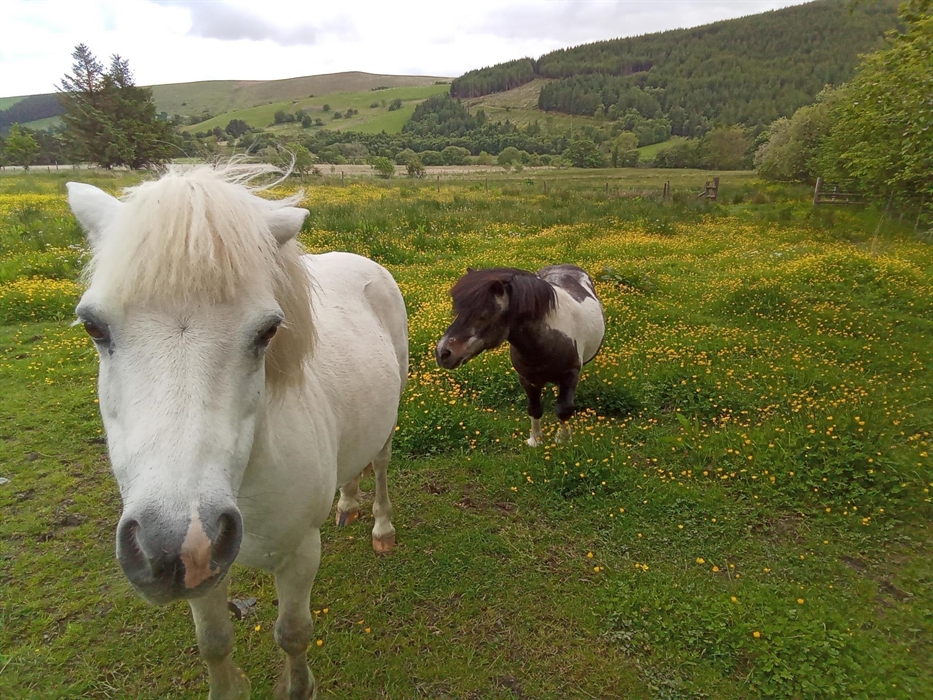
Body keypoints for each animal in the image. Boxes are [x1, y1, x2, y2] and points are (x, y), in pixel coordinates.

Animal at [67, 163, 409, 700]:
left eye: (268, 331)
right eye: (93, 327)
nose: (175, 546)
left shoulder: (300, 555)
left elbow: (293, 633)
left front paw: (298, 687)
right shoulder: (205, 577)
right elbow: (214, 641)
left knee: (380, 466)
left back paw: (380, 528)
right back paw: (347, 504)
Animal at [435, 265, 605, 446]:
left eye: (483, 315)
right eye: (458, 312)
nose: (442, 353)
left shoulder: (570, 374)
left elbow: (564, 409)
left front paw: (562, 440)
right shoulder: (526, 379)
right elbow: (534, 408)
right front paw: (535, 440)